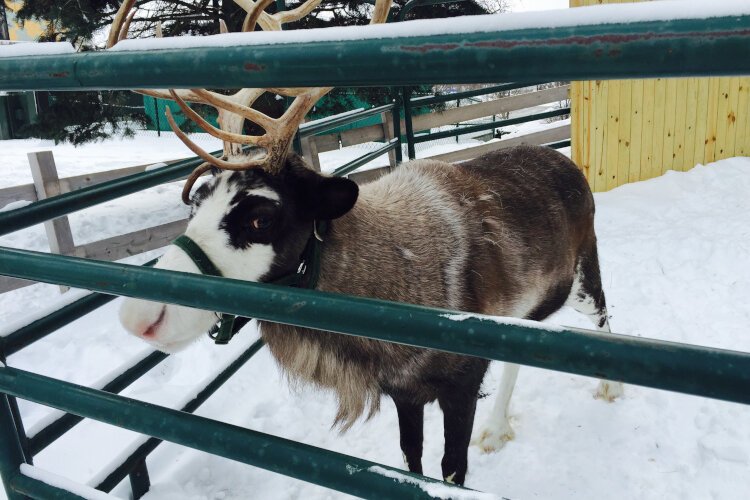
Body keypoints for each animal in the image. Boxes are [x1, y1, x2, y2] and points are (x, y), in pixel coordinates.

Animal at [114, 0, 623, 486]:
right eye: (196, 202)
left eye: (261, 217)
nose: (140, 315)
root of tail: (570, 164)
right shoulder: (403, 392)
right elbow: (411, 459)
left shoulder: (460, 383)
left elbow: (450, 469)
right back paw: (498, 430)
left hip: (583, 272)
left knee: (603, 314)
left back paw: (611, 388)